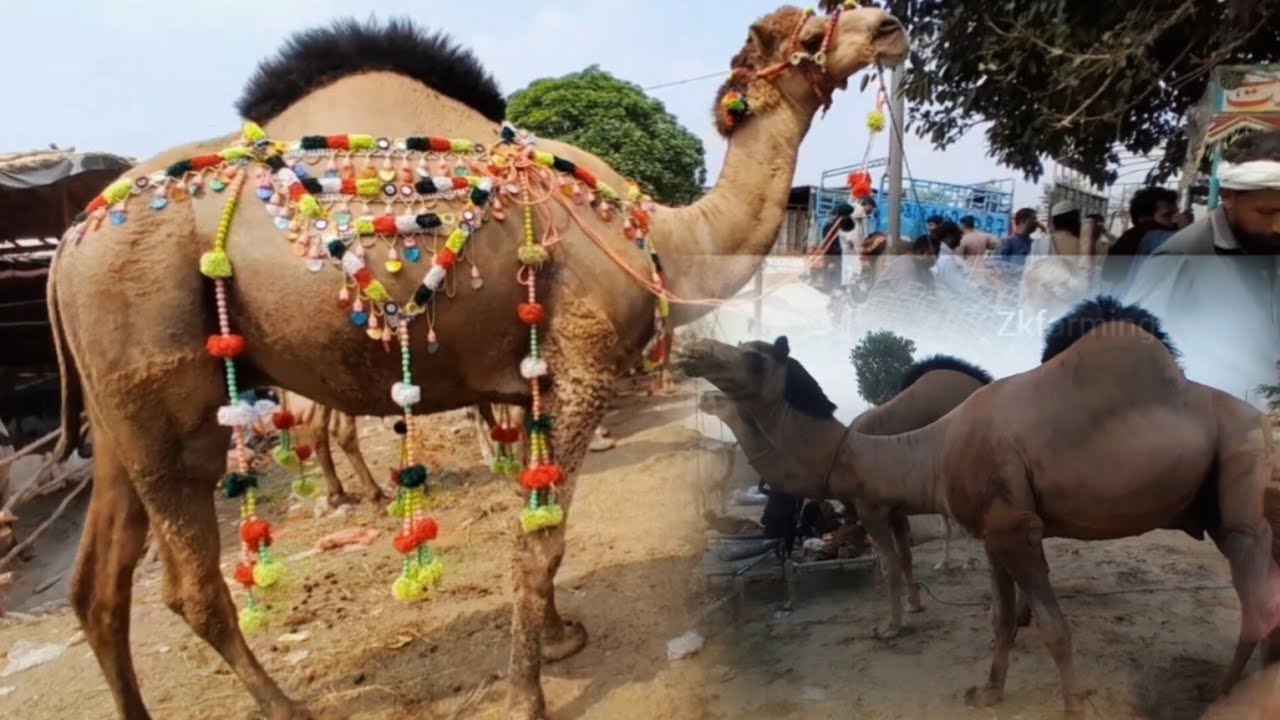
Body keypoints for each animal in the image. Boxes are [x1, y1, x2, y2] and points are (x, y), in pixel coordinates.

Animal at [46, 8, 908, 719]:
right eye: (812, 29)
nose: (891, 24)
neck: (659, 235)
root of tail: (65, 252)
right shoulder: (583, 365)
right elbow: (542, 538)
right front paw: (528, 694)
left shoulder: (534, 383)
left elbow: (541, 523)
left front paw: (558, 636)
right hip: (162, 385)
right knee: (189, 586)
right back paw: (286, 707)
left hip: (119, 415)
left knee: (98, 587)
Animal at [676, 296, 1280, 715]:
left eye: (754, 359)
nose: (693, 352)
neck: (928, 453)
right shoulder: (993, 531)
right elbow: (1001, 618)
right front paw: (988, 692)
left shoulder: (1014, 527)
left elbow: (1054, 627)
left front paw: (1071, 705)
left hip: (1241, 475)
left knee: (1256, 600)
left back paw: (1220, 694)